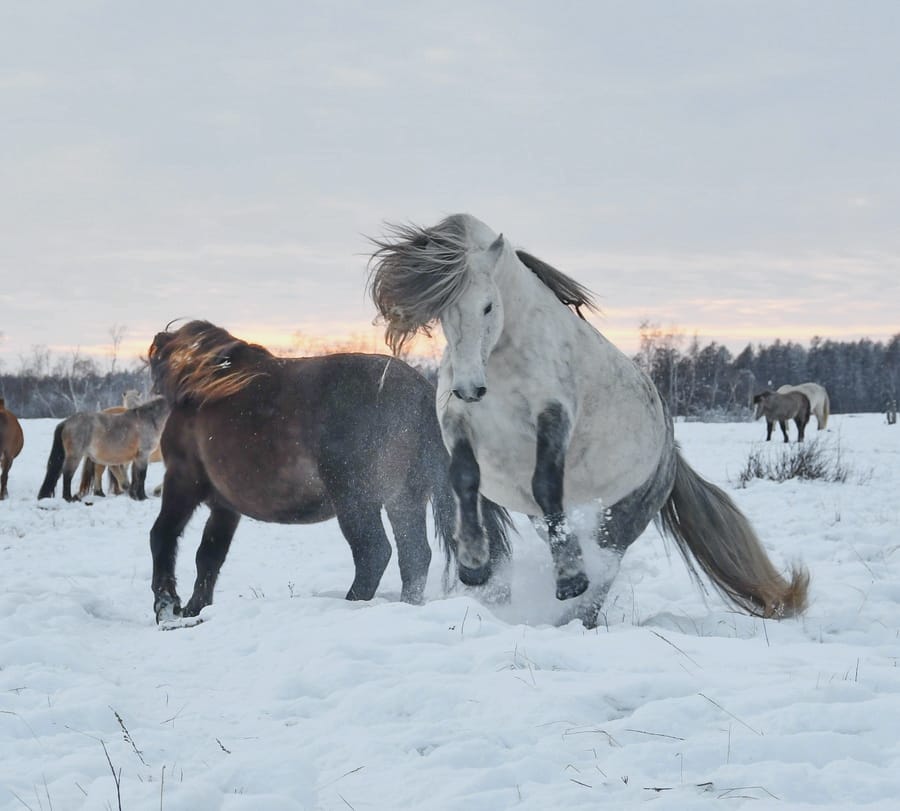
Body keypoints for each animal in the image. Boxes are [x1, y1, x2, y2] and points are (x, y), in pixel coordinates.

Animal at [37, 398, 171, 504]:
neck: (149, 419)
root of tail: (66, 422)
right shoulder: (143, 455)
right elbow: (142, 477)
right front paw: (143, 497)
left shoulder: (137, 457)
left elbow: (135, 477)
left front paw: (136, 496)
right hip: (75, 456)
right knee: (67, 475)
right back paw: (69, 498)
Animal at [148, 320, 512, 624]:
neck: (207, 387)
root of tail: (420, 392)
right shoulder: (226, 507)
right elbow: (209, 557)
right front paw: (195, 609)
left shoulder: (182, 481)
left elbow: (163, 537)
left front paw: (168, 608)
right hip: (403, 499)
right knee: (414, 557)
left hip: (356, 501)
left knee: (374, 553)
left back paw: (350, 605)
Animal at [368, 214, 808, 628]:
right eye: (444, 311)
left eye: (488, 306)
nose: (470, 388)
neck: (505, 356)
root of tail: (670, 453)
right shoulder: (457, 421)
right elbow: (464, 479)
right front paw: (474, 566)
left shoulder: (554, 415)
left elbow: (546, 484)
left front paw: (569, 580)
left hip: (622, 517)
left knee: (604, 566)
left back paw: (576, 613)